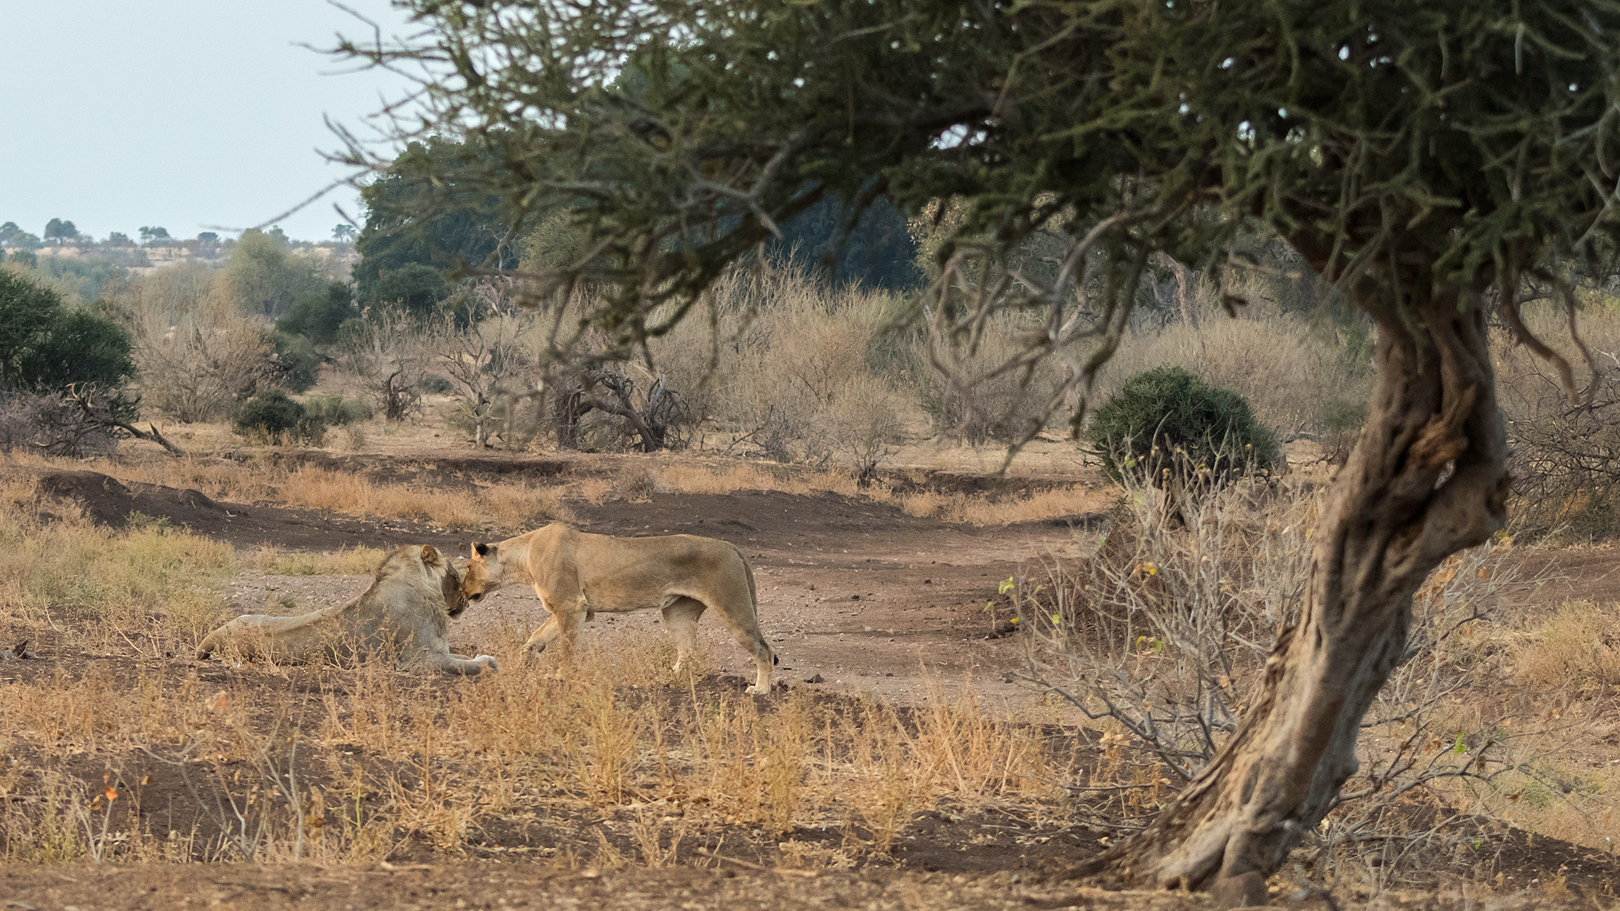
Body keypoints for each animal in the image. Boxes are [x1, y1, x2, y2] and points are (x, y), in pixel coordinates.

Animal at [193, 541, 492, 671]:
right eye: (455, 575)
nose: (467, 598)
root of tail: (211, 638)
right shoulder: (421, 661)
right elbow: (473, 666)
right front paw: (487, 662)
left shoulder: (440, 651)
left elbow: (467, 658)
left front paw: (482, 656)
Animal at [463, 521, 777, 690]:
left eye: (467, 567)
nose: (463, 591)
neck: (523, 557)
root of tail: (732, 546)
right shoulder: (578, 609)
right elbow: (536, 636)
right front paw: (524, 661)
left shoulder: (571, 605)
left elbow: (567, 646)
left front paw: (562, 676)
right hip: (677, 612)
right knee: (687, 652)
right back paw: (667, 679)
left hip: (732, 604)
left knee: (764, 650)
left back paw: (760, 691)